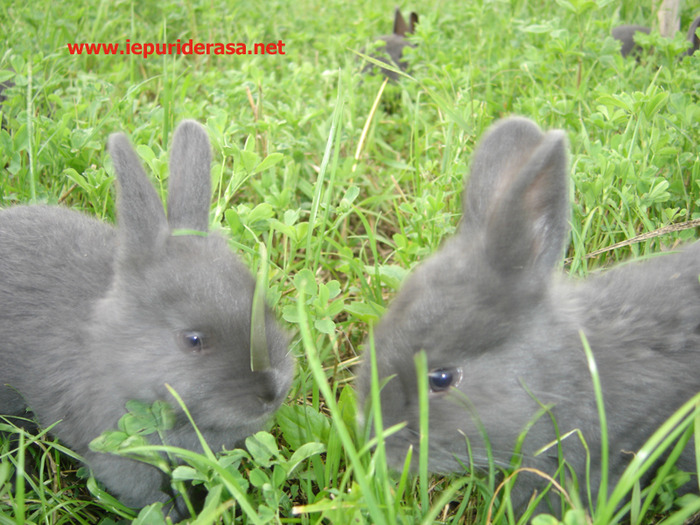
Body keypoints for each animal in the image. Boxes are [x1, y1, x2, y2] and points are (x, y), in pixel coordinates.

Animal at [0, 121, 296, 510]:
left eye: (265, 305)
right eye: (193, 340)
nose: (272, 391)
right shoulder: (120, 456)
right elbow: (152, 497)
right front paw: (178, 513)